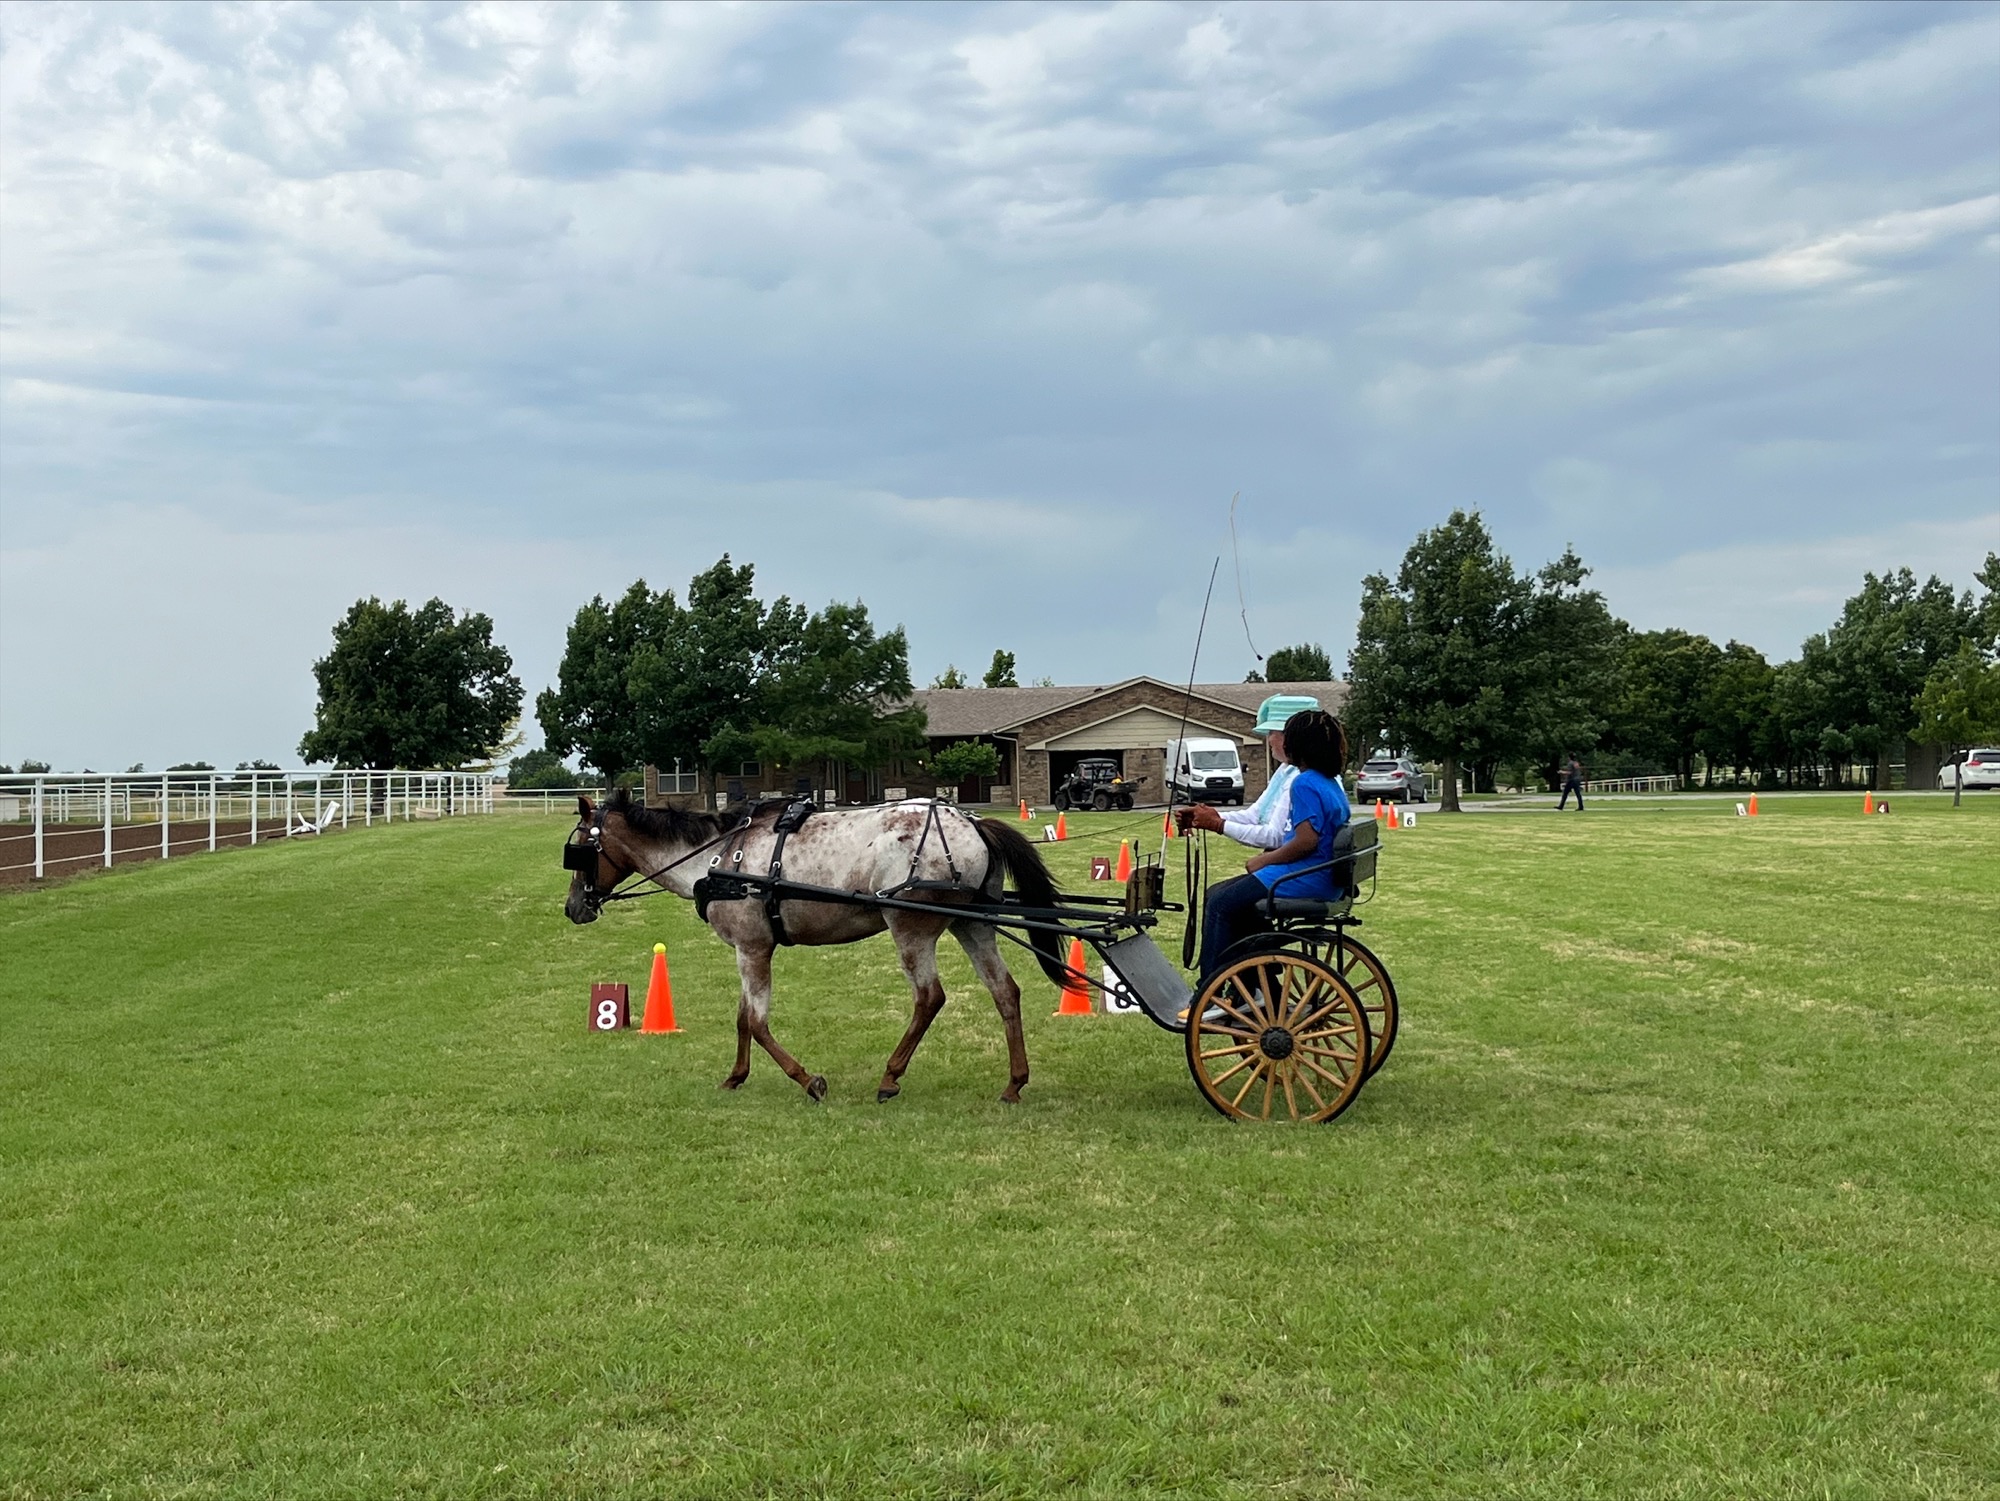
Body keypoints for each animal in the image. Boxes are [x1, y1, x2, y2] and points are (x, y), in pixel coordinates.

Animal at [562, 787, 1068, 1104]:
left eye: (578, 852)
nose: (573, 907)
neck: (719, 857)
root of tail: (972, 823)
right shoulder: (749, 949)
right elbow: (743, 1018)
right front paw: (736, 1076)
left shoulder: (753, 948)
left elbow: (758, 1024)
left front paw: (808, 1080)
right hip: (972, 926)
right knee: (1005, 992)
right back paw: (1013, 1084)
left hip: (910, 928)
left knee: (930, 998)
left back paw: (890, 1077)